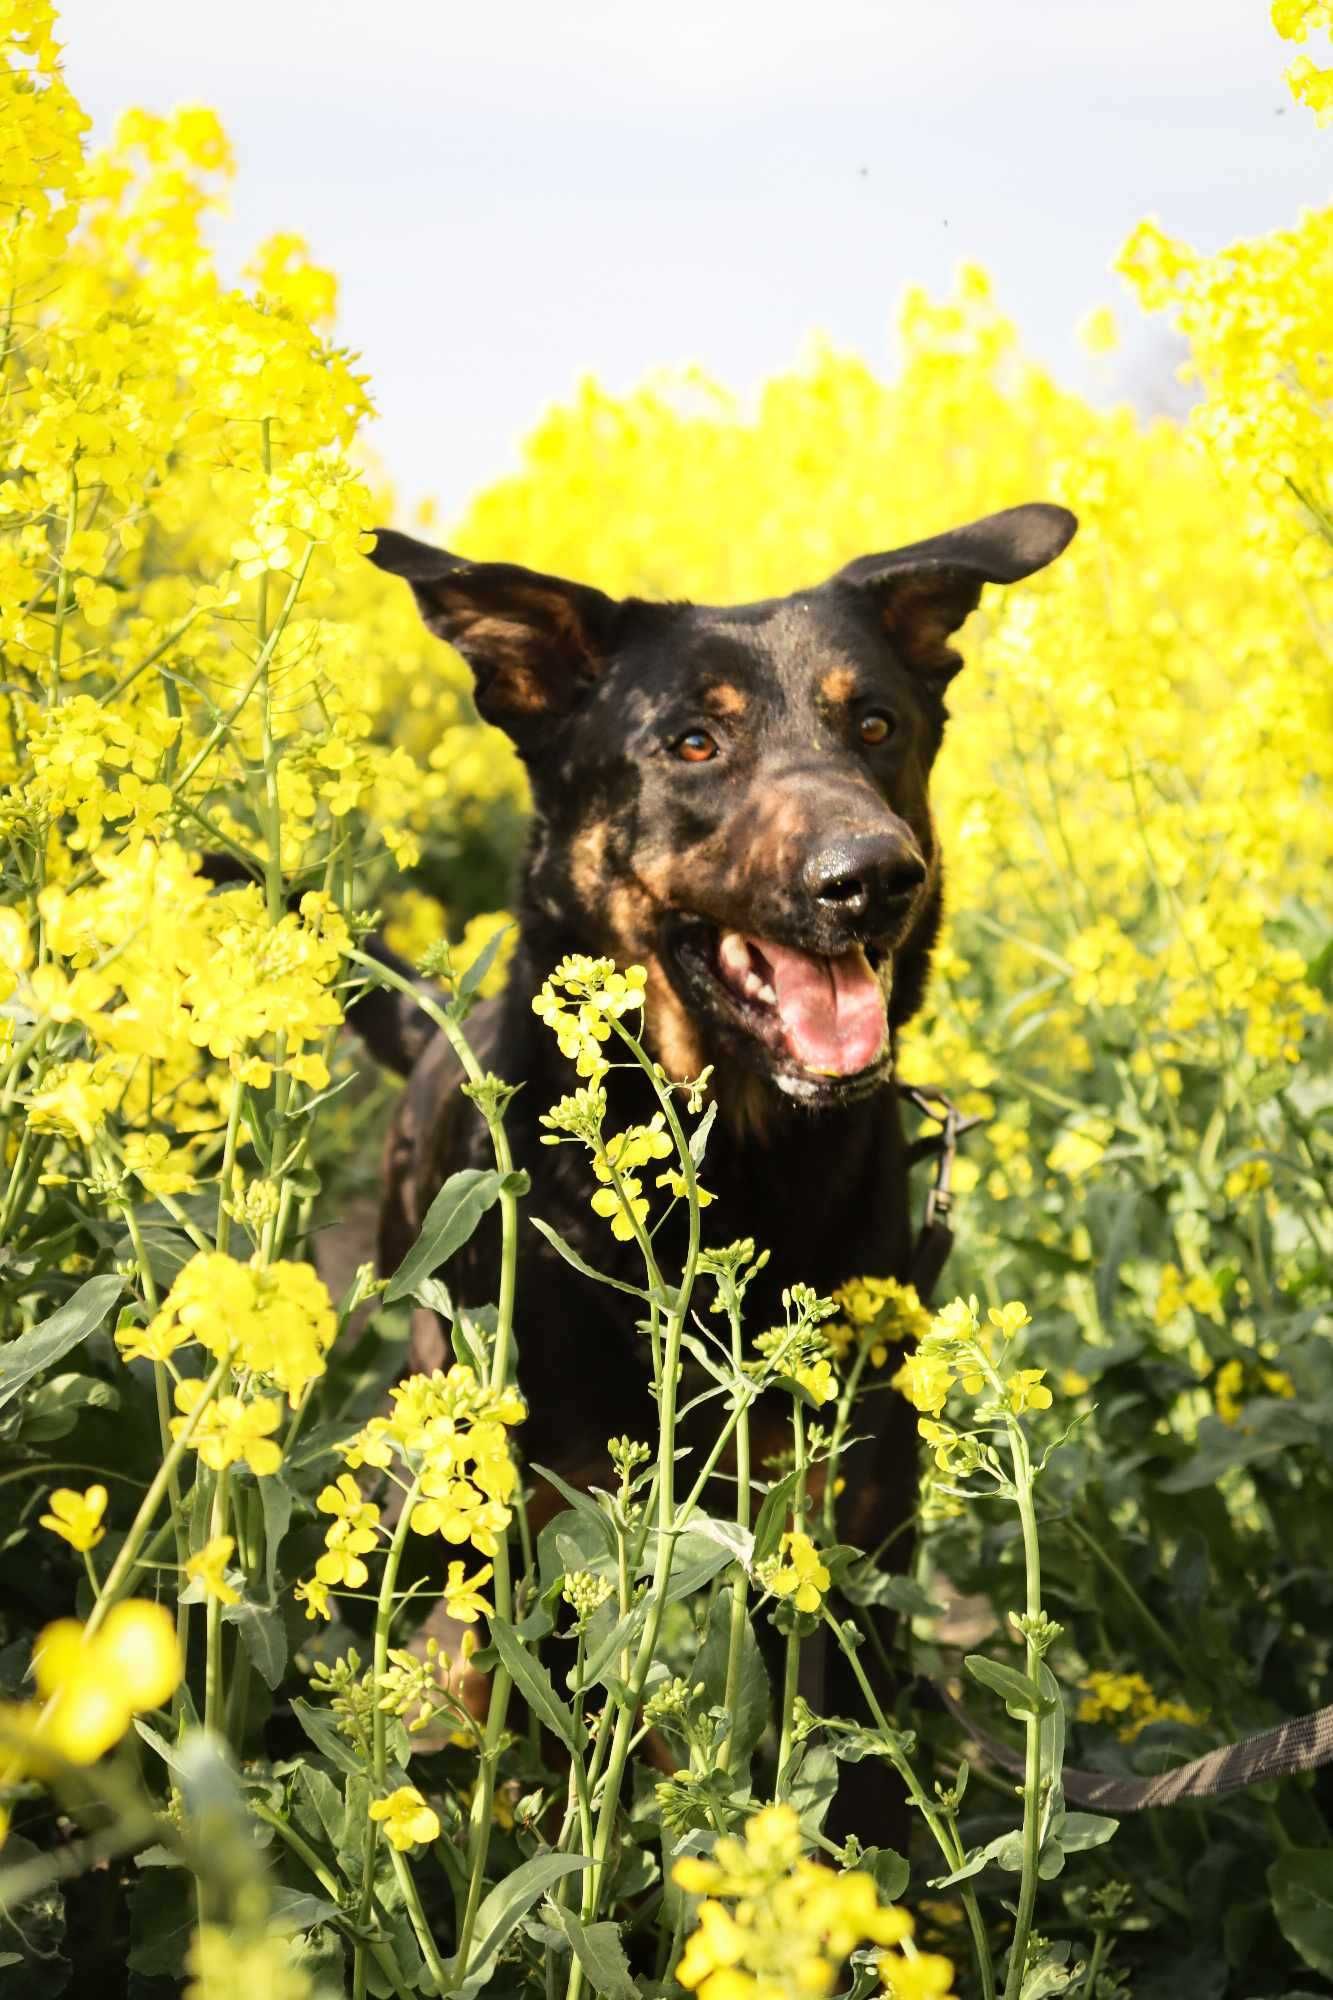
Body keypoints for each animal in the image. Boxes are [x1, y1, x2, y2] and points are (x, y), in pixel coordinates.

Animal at [350, 504, 1072, 1832]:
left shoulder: (842, 1520)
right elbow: (539, 1720)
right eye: (693, 741)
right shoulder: (536, 1524)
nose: (869, 877)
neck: (735, 1153)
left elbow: (848, 1770)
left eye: (876, 724)